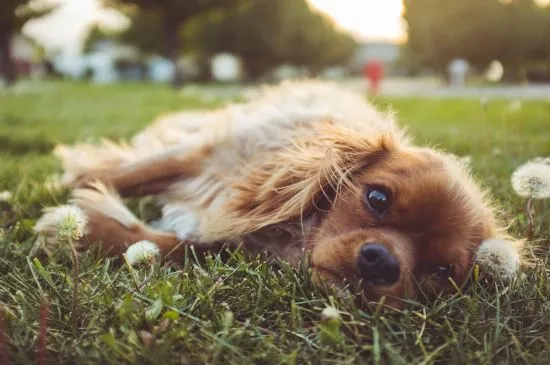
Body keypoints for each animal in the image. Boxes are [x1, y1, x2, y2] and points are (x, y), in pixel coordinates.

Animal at [33, 79, 520, 308]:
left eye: (440, 271)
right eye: (377, 198)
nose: (382, 262)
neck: (295, 230)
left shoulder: (226, 239)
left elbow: (172, 246)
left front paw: (89, 230)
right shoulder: (206, 157)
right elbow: (130, 173)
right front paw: (73, 196)